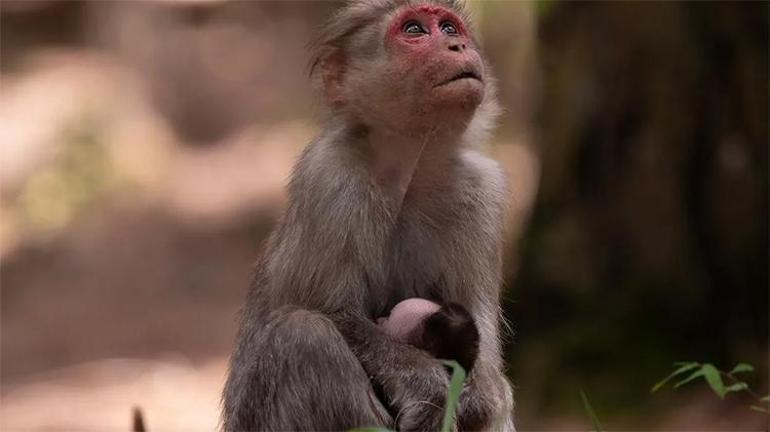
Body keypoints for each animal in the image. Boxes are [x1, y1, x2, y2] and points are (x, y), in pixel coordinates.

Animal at [222, 0, 512, 430]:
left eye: (448, 27)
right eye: (414, 30)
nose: (457, 45)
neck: (411, 170)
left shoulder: (481, 192)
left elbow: (485, 357)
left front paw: (474, 394)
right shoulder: (330, 176)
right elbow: (333, 311)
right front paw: (426, 384)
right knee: (304, 335)